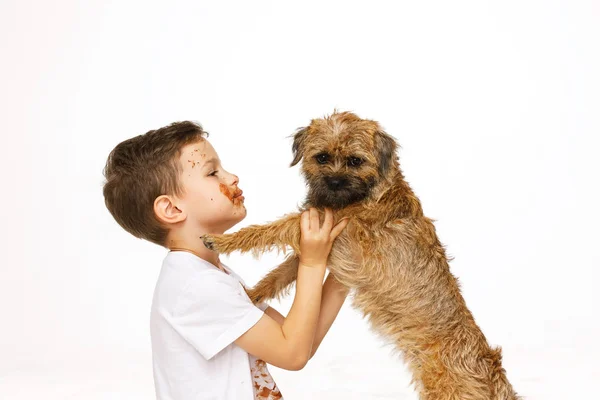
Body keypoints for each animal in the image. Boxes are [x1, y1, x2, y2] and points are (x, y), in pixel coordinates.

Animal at [203, 110, 520, 400]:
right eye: (321, 157)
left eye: (356, 161)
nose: (334, 182)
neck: (368, 194)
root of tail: (493, 372)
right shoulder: (317, 248)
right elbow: (279, 275)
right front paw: (251, 295)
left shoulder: (336, 236)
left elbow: (274, 228)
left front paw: (223, 240)